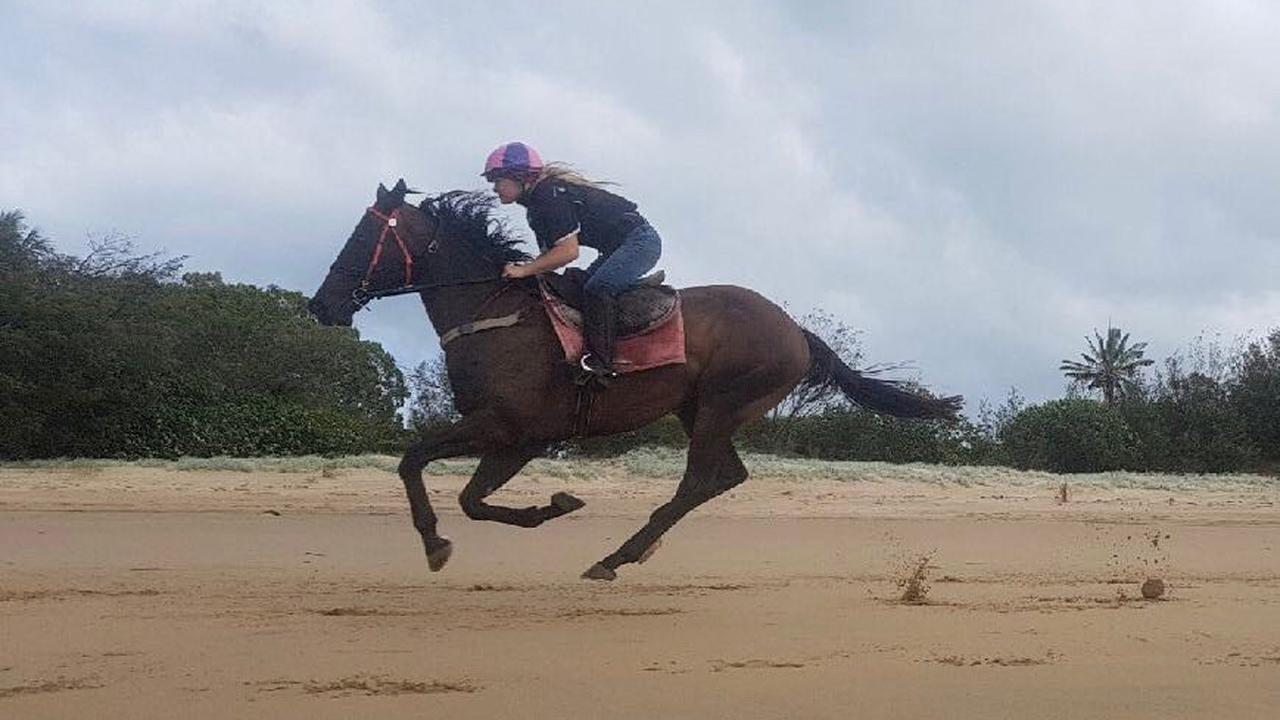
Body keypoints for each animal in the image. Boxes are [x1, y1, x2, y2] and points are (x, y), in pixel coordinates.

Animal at [304, 181, 957, 579]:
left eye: (364, 237)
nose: (321, 305)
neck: (493, 311)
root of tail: (795, 330)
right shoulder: (516, 437)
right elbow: (466, 496)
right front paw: (550, 506)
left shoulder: (510, 427)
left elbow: (421, 465)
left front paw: (438, 544)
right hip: (699, 410)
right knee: (727, 477)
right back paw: (633, 550)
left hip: (721, 403)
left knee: (698, 482)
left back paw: (616, 557)